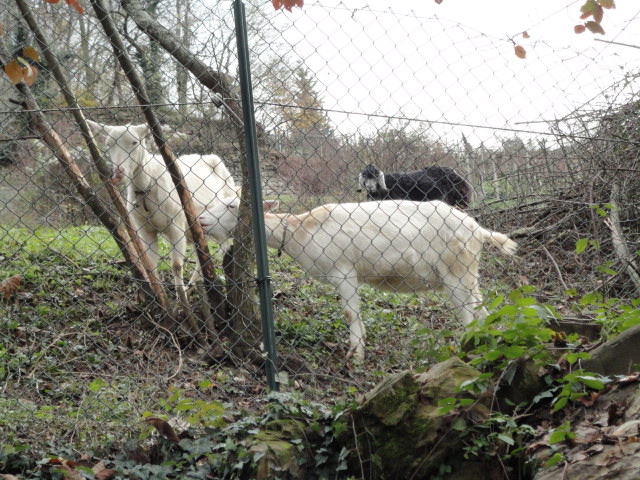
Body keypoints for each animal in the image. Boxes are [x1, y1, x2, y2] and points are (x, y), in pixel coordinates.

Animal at [87, 121, 237, 325]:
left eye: (135, 142)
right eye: (109, 144)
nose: (118, 173)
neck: (146, 188)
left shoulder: (177, 225)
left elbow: (176, 265)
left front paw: (183, 307)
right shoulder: (144, 229)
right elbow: (151, 264)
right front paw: (160, 304)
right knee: (201, 251)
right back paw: (195, 283)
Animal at [199, 197, 517, 361]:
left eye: (231, 206)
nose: (201, 220)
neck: (300, 231)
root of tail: (477, 229)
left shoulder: (343, 271)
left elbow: (350, 313)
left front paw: (356, 354)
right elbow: (358, 315)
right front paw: (360, 347)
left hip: (457, 269)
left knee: (471, 312)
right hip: (464, 273)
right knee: (478, 310)